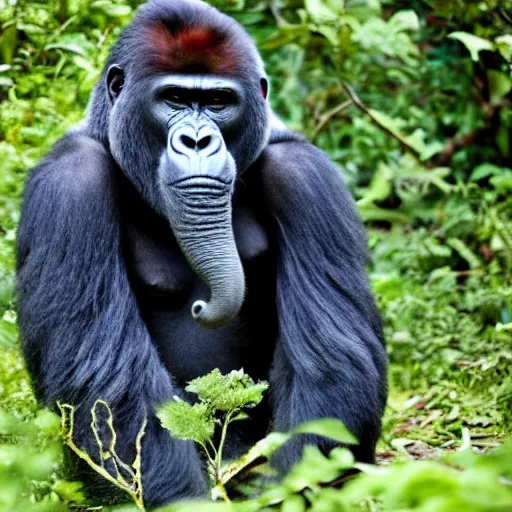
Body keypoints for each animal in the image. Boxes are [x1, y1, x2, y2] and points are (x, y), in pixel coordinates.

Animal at [16, 0, 386, 504]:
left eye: (217, 103)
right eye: (173, 98)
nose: (196, 141)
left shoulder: (305, 174)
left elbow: (336, 359)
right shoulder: (70, 183)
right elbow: (108, 389)